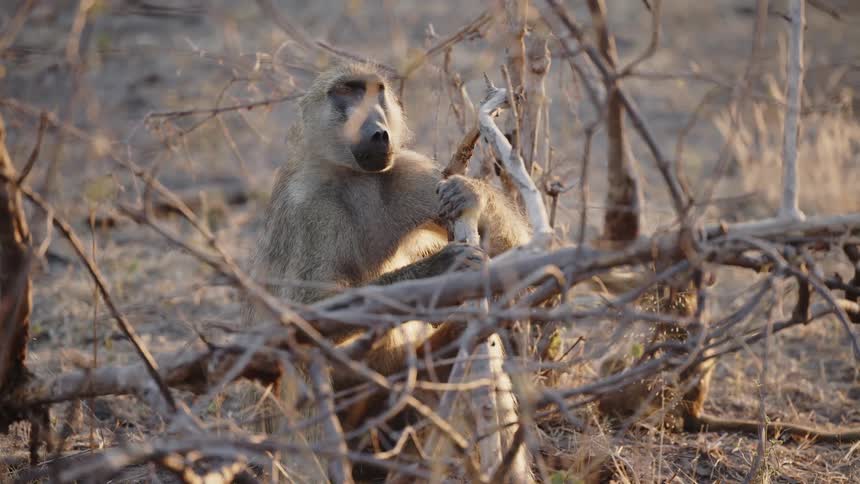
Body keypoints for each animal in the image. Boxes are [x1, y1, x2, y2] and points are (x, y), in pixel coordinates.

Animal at [242, 61, 531, 480]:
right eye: (346, 92)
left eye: (375, 91)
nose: (379, 131)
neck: (352, 175)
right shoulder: (306, 208)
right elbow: (300, 317)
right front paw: (437, 269)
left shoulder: (413, 172)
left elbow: (522, 251)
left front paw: (470, 193)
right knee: (303, 366)